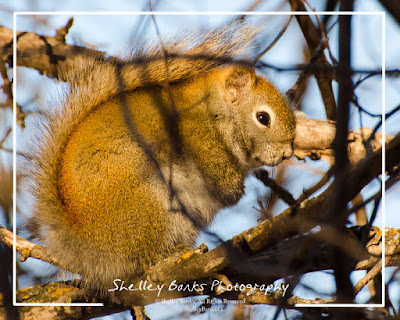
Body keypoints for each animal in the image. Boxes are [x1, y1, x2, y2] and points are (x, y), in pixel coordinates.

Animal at [29, 23, 296, 296]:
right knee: (143, 259)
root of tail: (85, 240)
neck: (215, 111)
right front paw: (234, 190)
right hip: (147, 200)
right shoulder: (196, 139)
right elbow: (215, 175)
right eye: (263, 118)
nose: (287, 153)